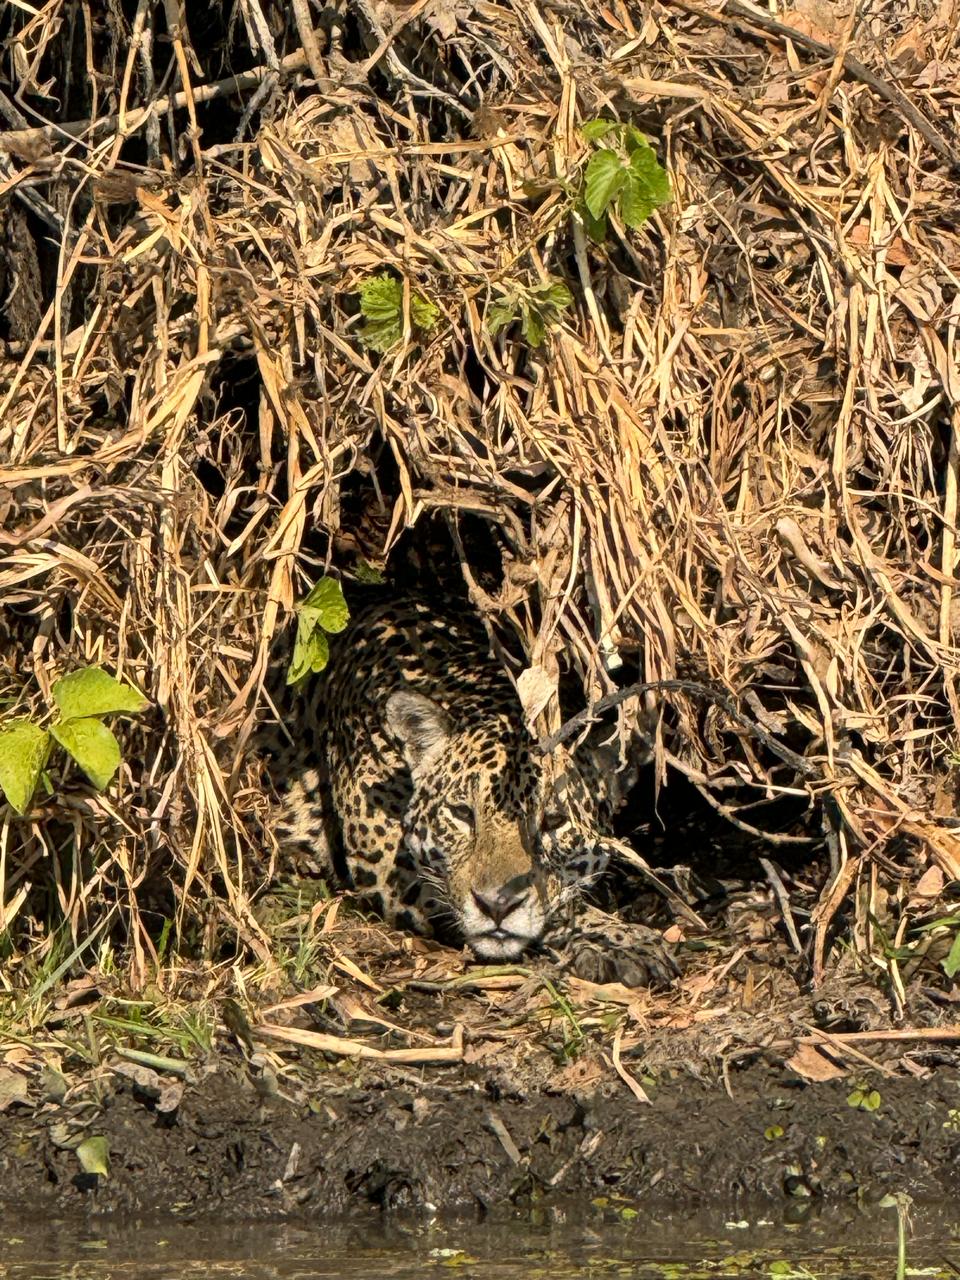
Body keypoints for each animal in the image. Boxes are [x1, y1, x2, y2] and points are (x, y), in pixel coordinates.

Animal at [268, 595, 675, 987]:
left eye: (553, 821)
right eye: (463, 813)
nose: (497, 906)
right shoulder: (383, 864)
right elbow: (558, 908)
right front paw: (620, 939)